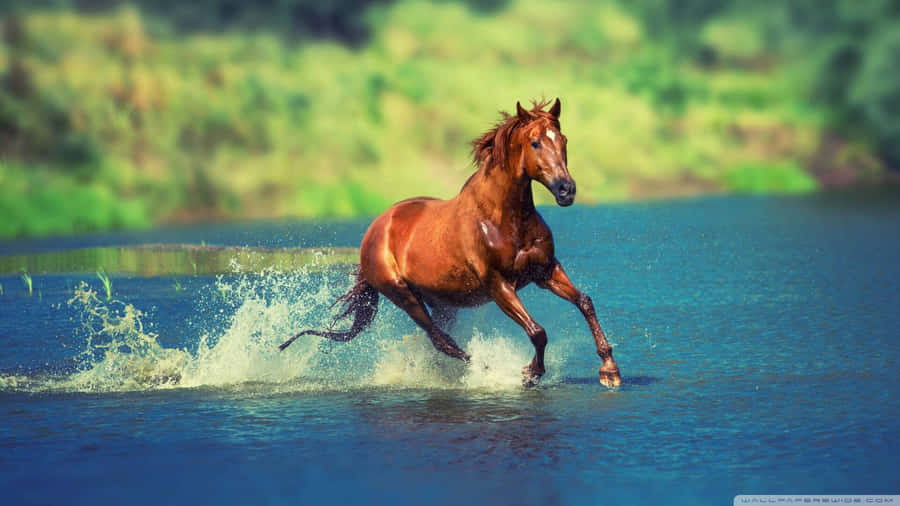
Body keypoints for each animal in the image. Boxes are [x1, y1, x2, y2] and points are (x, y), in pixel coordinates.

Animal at [280, 98, 621, 388]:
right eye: (535, 142)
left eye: (563, 141)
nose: (566, 190)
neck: (503, 219)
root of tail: (374, 231)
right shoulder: (499, 284)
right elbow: (537, 331)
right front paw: (530, 373)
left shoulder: (545, 270)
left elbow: (585, 302)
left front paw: (609, 371)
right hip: (403, 295)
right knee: (441, 340)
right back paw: (487, 370)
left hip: (441, 300)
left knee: (440, 339)